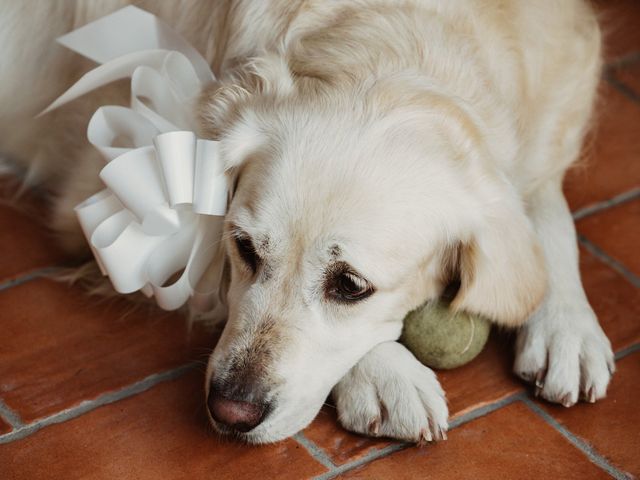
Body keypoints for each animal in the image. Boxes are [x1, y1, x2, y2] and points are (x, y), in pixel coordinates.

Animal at [1, 0, 616, 444]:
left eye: (351, 285)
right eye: (244, 249)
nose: (230, 411)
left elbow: (543, 216)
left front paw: (567, 324)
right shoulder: (96, 192)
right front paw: (388, 375)